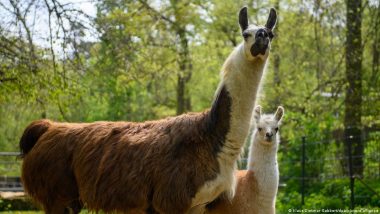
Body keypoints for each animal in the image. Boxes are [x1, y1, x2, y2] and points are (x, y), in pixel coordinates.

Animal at [19, 7, 278, 214]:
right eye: (246, 34)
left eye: (270, 33)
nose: (262, 37)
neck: (212, 139)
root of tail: (47, 128)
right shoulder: (171, 201)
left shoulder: (199, 204)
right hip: (57, 195)